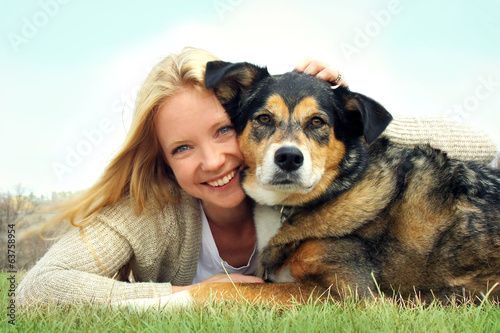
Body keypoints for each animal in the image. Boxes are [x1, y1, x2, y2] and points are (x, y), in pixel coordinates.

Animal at [190, 59, 500, 304]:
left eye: (317, 122)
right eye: (264, 118)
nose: (289, 158)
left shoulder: (350, 295)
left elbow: (228, 289)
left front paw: (176, 301)